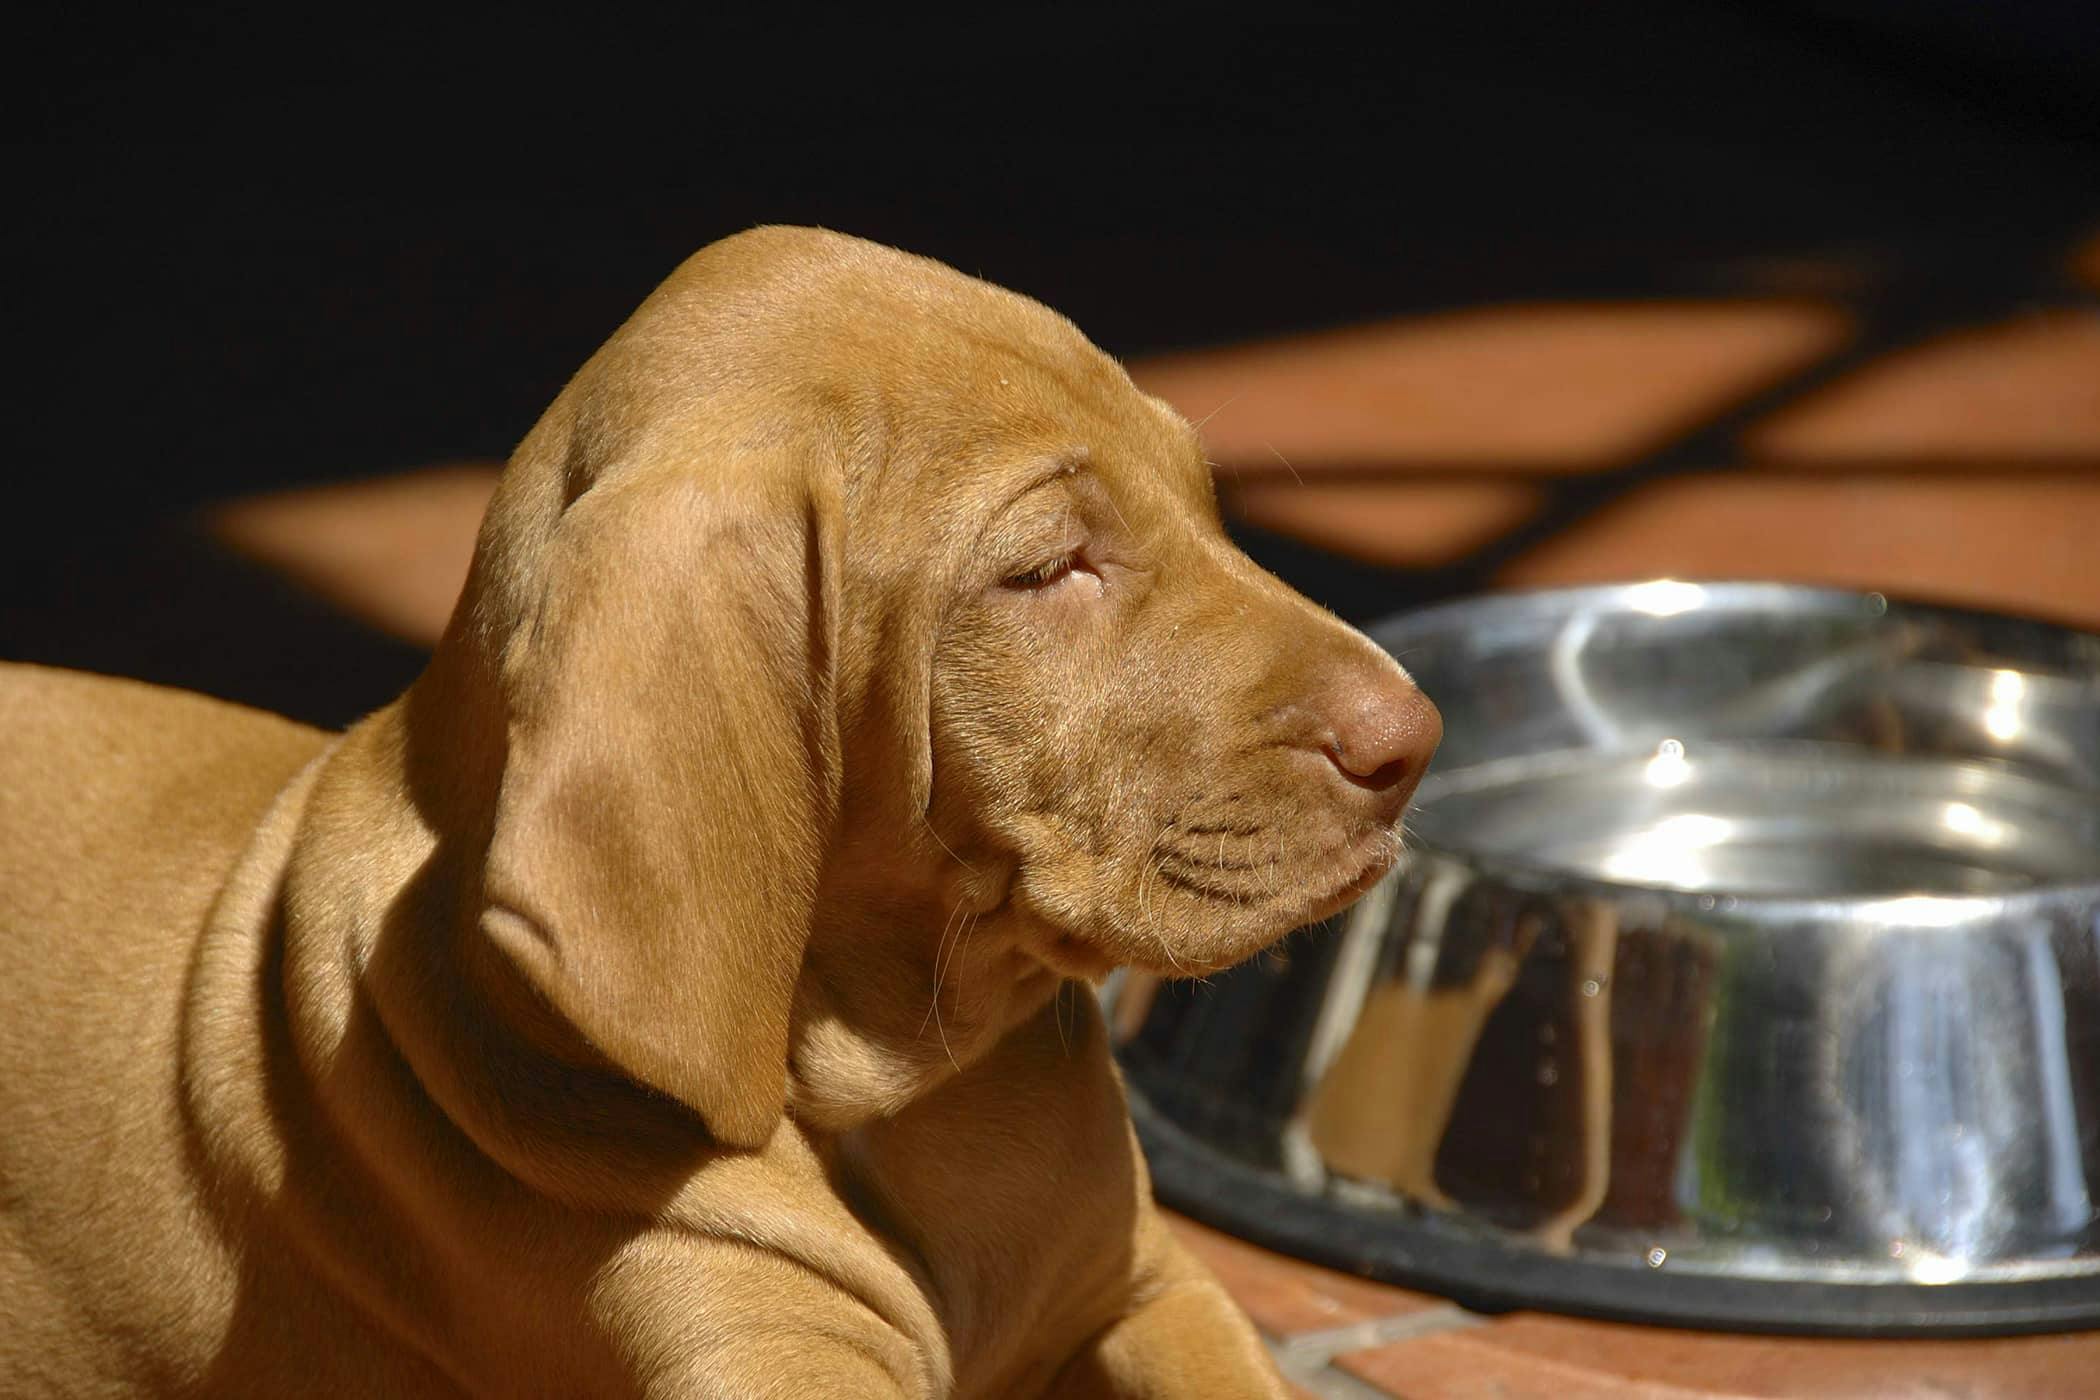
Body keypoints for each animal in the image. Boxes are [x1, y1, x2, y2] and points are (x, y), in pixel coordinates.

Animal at [0, 232, 1444, 1400]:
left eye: (1206, 500)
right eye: (1045, 569)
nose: (1416, 741)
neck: (899, 1087)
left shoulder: (1157, 1288)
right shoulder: (768, 1360)